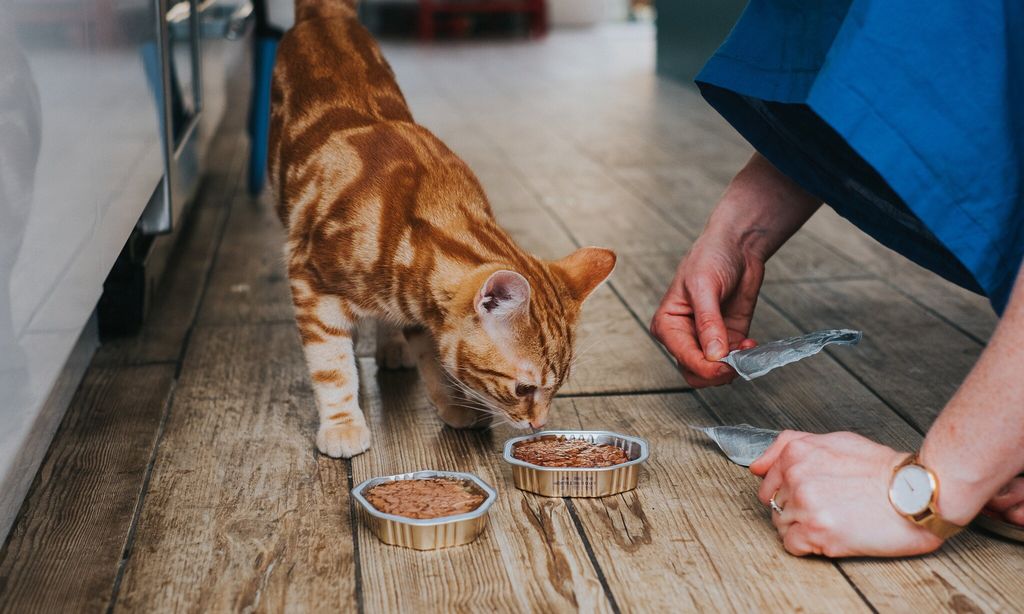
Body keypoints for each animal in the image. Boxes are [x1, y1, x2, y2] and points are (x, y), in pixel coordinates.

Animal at [268, 0, 610, 456]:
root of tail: (325, 14)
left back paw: (391, 345)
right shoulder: (309, 281)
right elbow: (332, 365)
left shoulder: (420, 307)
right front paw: (342, 424)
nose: (539, 425)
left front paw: (453, 403)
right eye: (523, 389)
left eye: (557, 387)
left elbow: (435, 359)